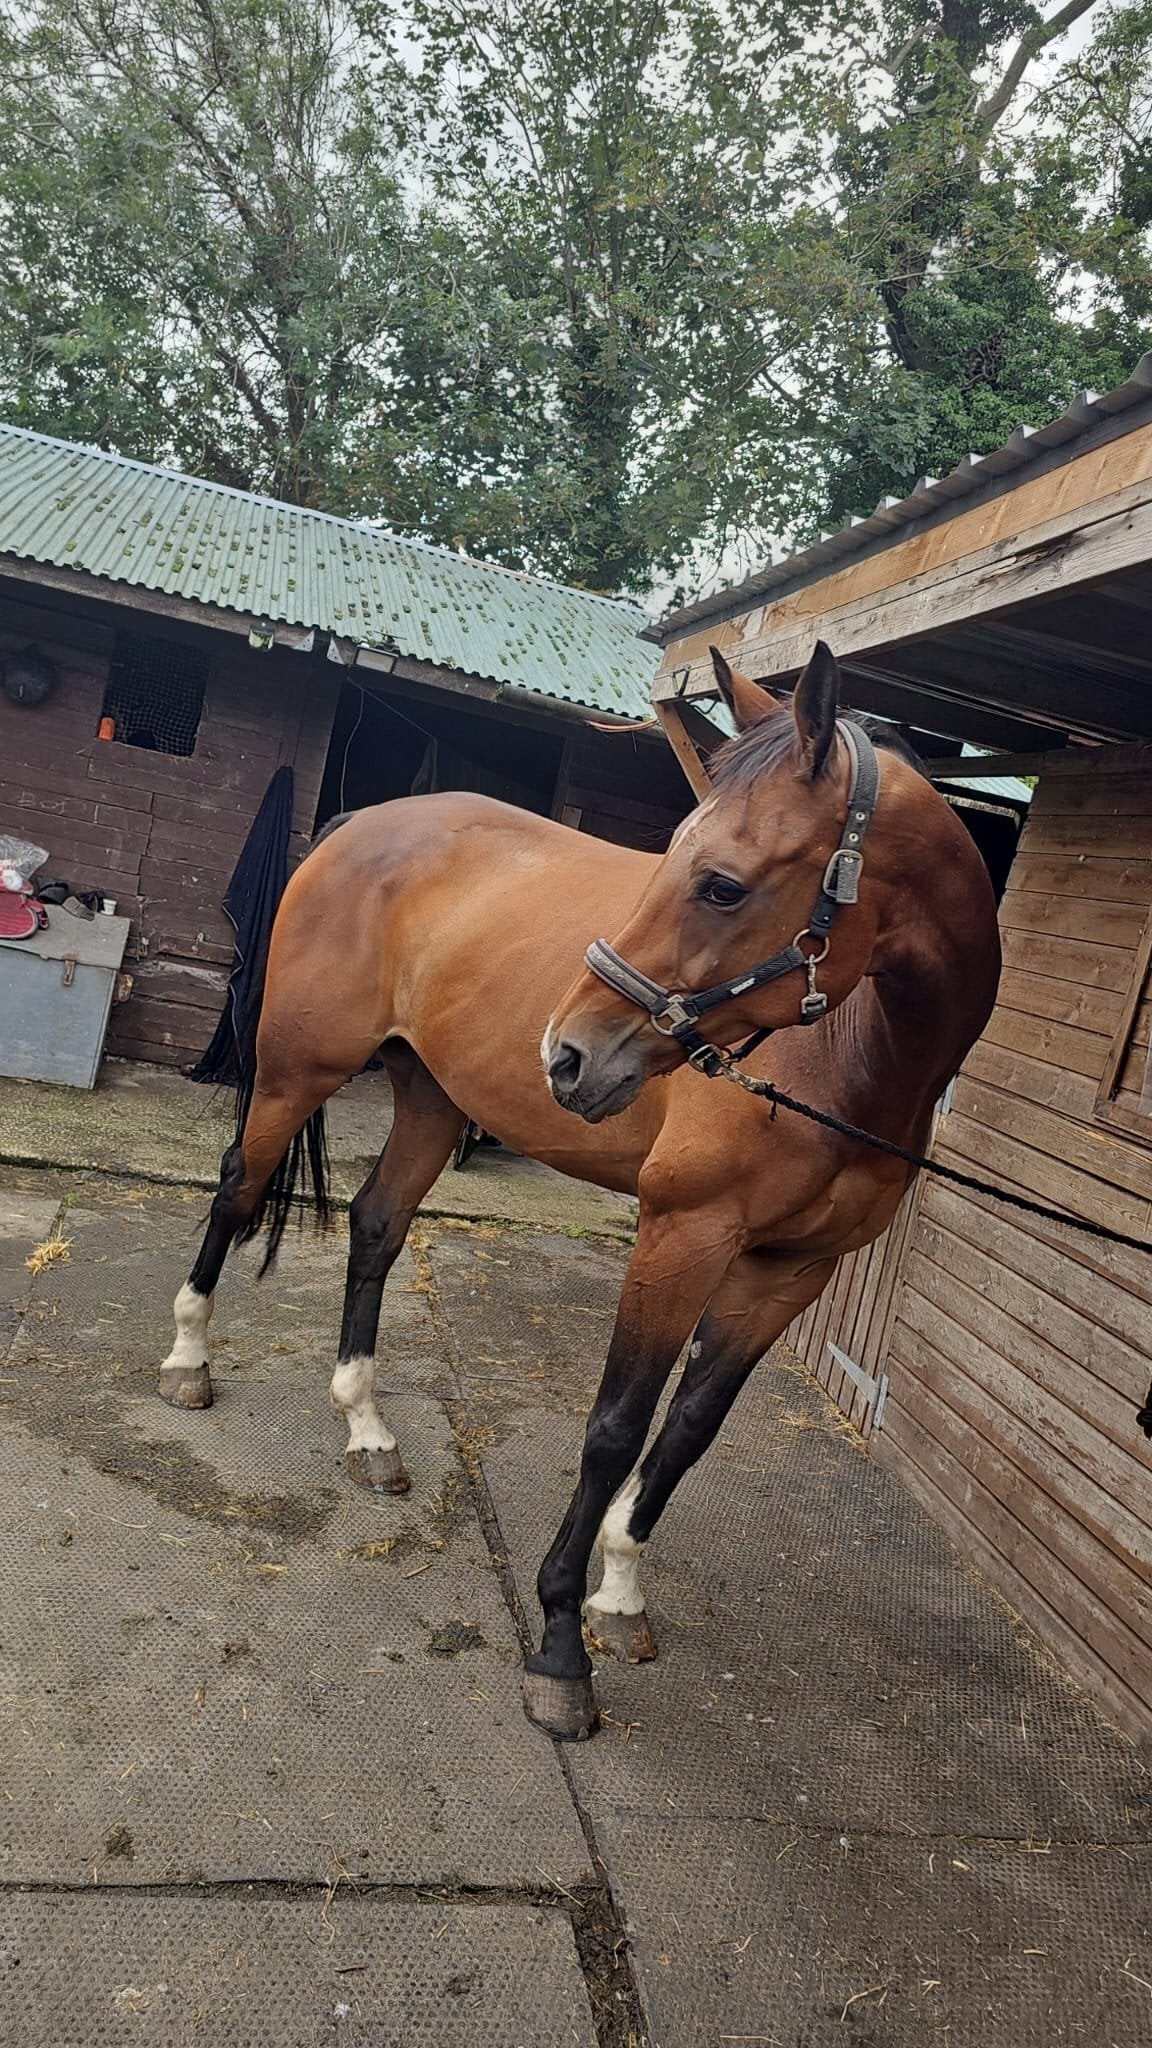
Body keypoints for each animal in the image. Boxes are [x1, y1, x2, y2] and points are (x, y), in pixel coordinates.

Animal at [158, 643, 1001, 1740]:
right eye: (676, 854)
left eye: (722, 884)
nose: (567, 1054)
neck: (854, 1058)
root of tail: (361, 826)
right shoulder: (682, 1235)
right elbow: (614, 1429)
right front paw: (561, 1641)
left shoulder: (788, 1270)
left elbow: (685, 1434)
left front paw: (620, 1596)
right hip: (297, 1068)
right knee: (233, 1192)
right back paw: (187, 1359)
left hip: (432, 1096)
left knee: (377, 1226)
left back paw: (366, 1425)